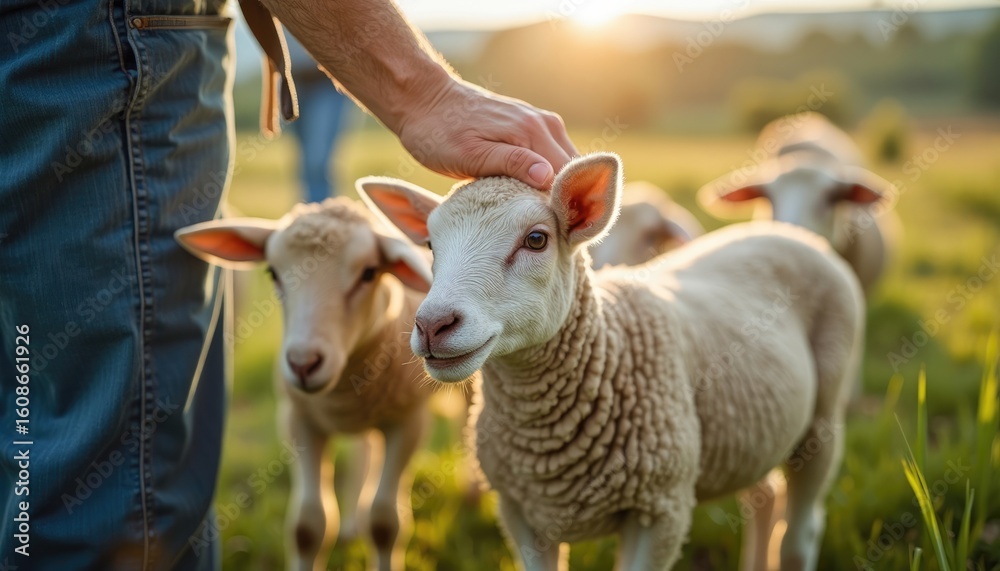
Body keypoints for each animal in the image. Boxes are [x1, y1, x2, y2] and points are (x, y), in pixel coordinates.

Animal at [175, 198, 437, 571]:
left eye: (369, 273)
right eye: (273, 273)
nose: (302, 364)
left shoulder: (409, 423)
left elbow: (384, 523)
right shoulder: (300, 421)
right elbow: (307, 527)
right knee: (362, 450)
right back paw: (351, 524)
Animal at [358, 152, 864, 571]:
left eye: (536, 239)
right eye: (429, 245)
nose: (432, 325)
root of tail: (789, 232)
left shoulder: (661, 512)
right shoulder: (521, 512)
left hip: (823, 418)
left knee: (802, 530)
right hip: (751, 427)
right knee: (763, 496)